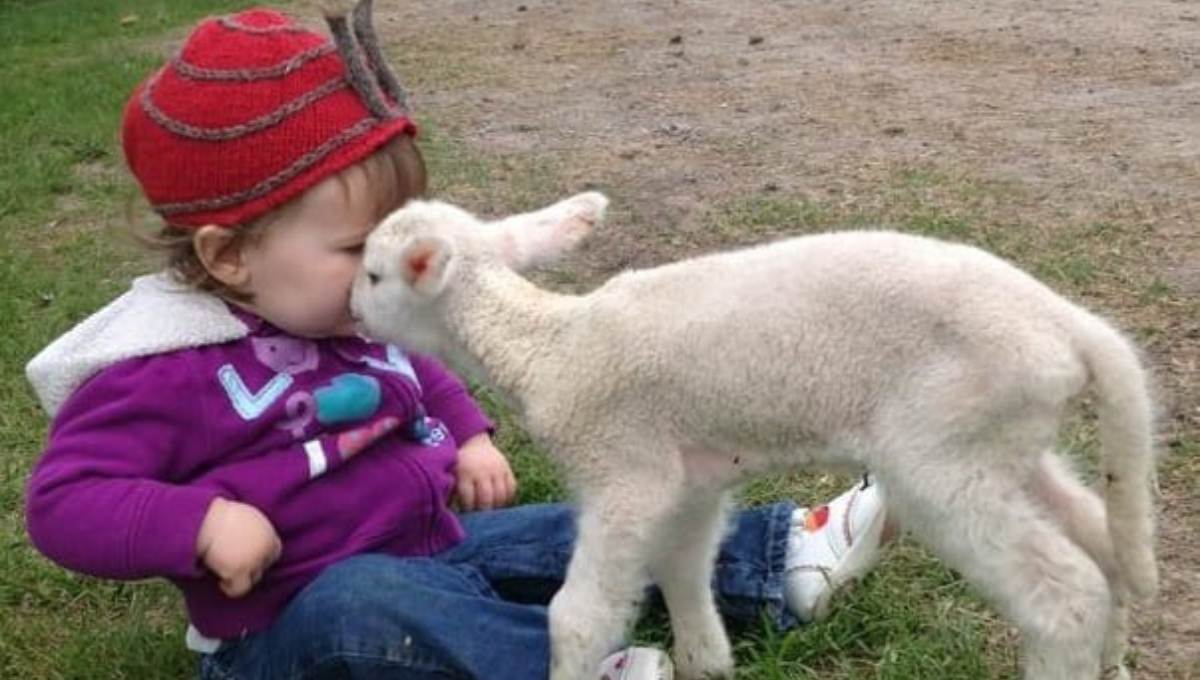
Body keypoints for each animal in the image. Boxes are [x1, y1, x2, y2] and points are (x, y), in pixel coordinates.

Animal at [350, 191, 1156, 680]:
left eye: (374, 273)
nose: (350, 310)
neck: (550, 347)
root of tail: (1071, 328)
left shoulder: (625, 473)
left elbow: (576, 617)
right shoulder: (689, 481)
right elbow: (681, 569)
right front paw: (707, 661)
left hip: (939, 453)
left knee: (1063, 594)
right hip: (1001, 435)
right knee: (1101, 535)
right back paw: (1114, 657)